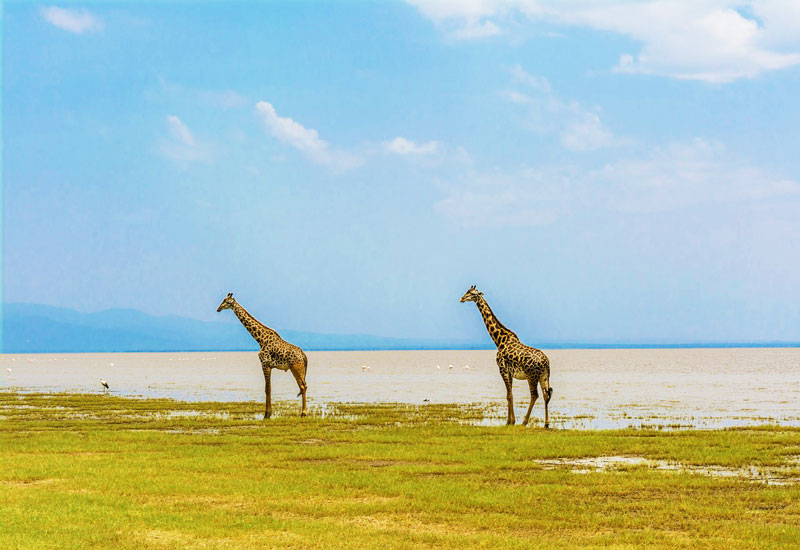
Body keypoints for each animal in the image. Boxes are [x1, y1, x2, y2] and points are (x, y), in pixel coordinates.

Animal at [460, 286, 552, 430]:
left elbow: (508, 395)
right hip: (544, 376)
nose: (462, 298)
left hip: (531, 376)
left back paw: (524, 422)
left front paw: (510, 421)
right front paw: (510, 421)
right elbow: (510, 395)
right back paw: (546, 423)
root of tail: (546, 362)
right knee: (545, 394)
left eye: (473, 294)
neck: (498, 340)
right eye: (467, 291)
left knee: (535, 395)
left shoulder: (502, 369)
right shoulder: (510, 372)